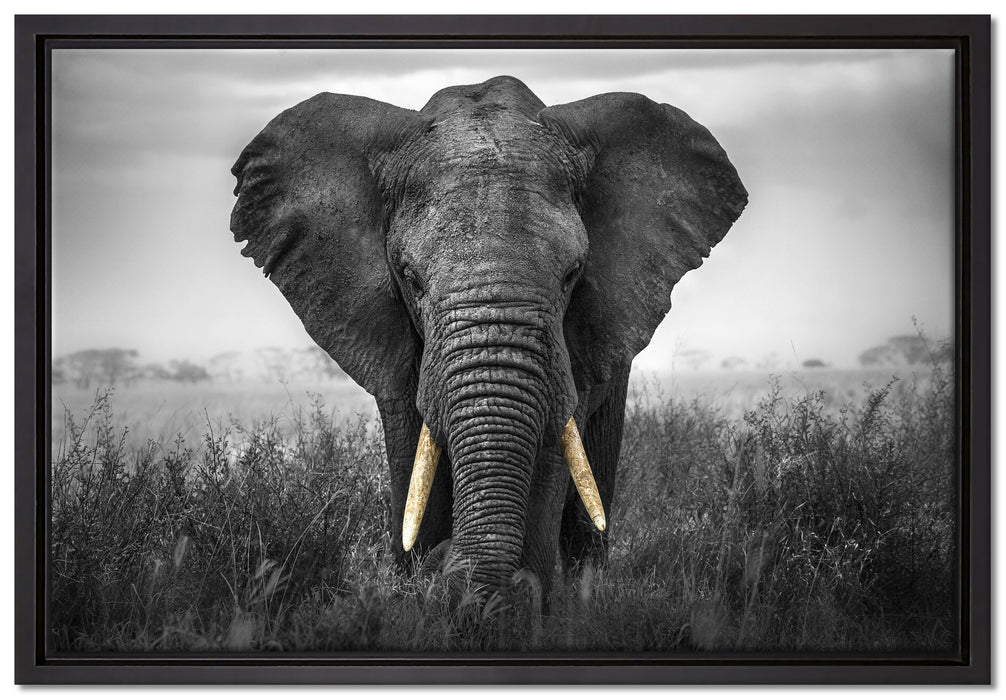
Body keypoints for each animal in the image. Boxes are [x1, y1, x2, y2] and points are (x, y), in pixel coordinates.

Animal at [229, 75, 746, 597]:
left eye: (572, 275)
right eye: (410, 278)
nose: (445, 564)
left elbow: (552, 448)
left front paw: (520, 597)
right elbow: (412, 452)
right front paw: (421, 584)